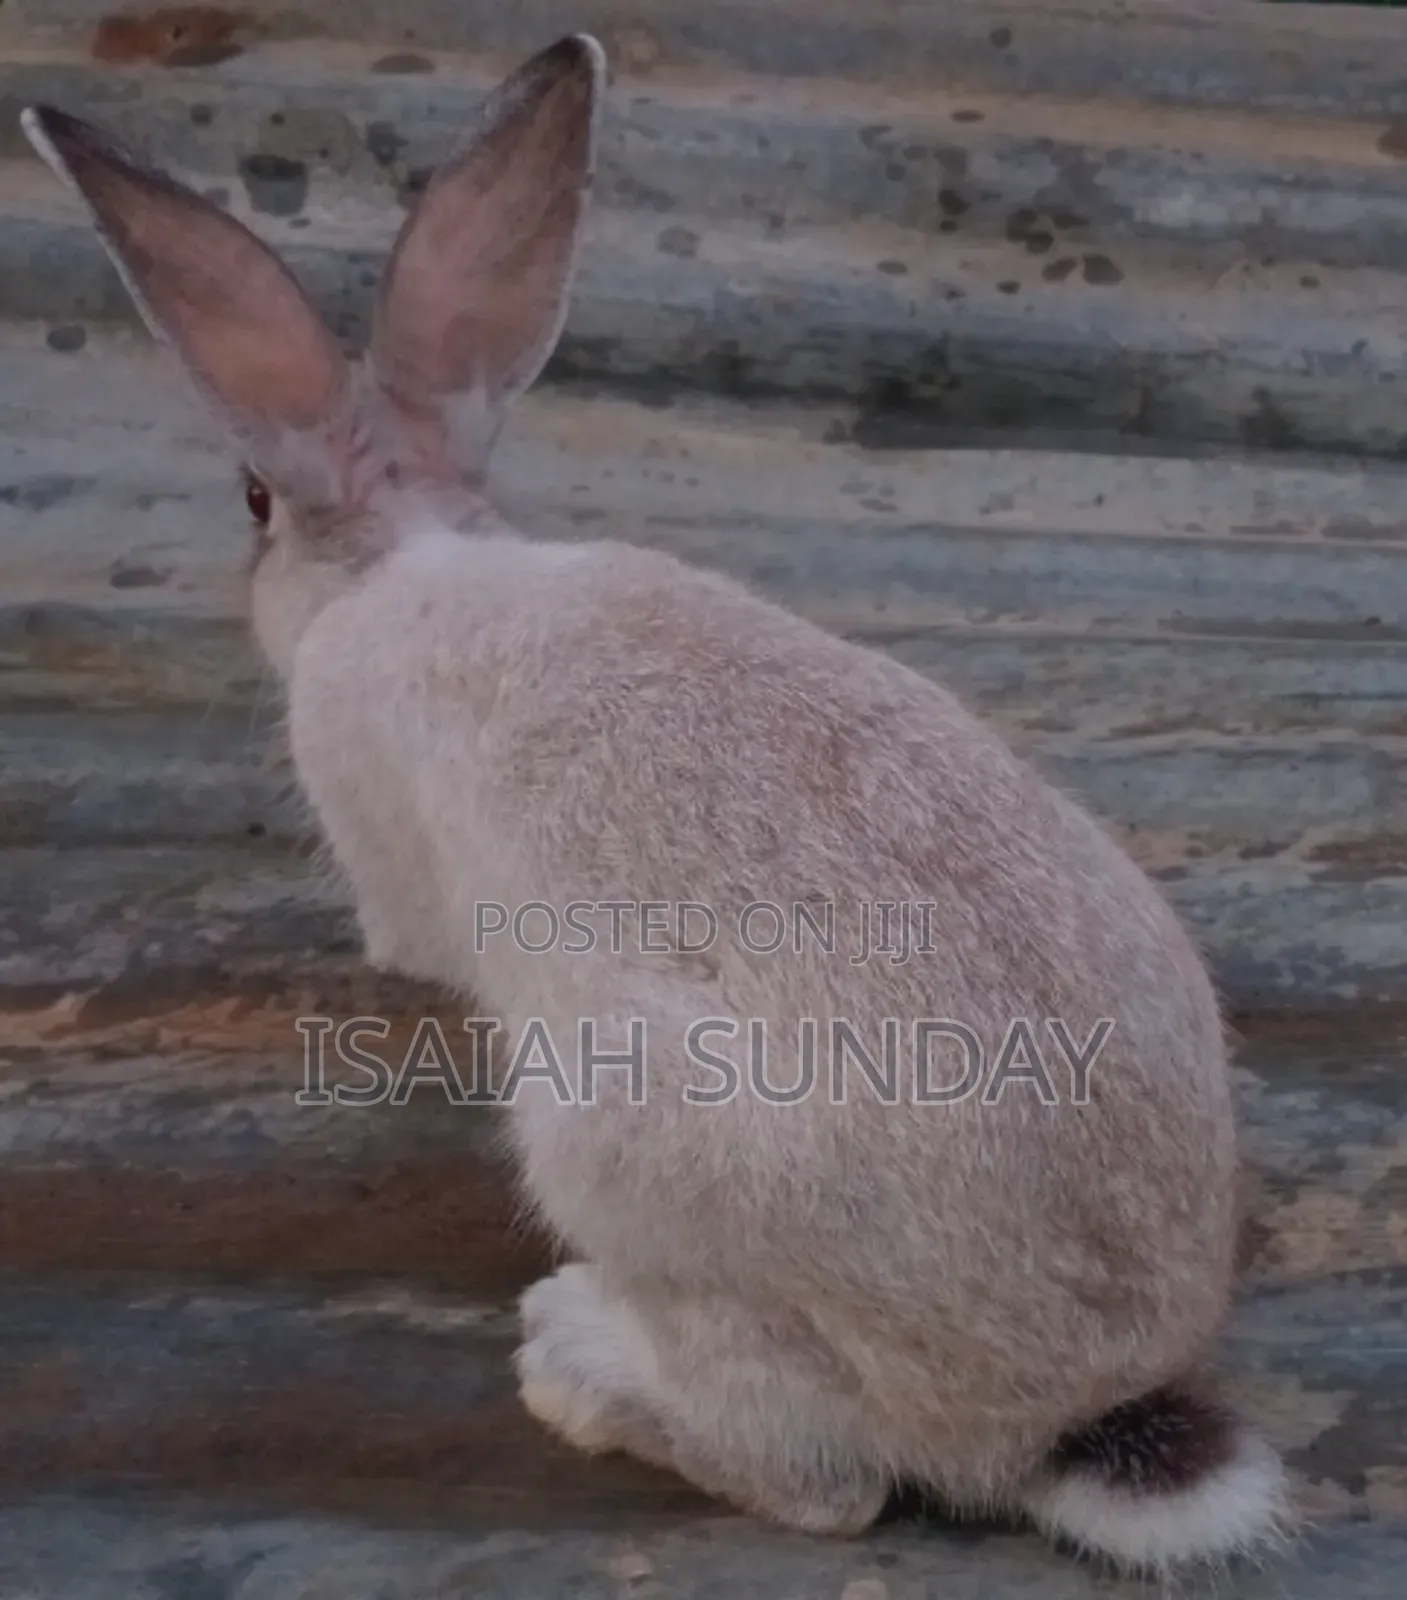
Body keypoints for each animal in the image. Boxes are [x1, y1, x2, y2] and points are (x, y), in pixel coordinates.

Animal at [22, 34, 1291, 1577]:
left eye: (255, 497)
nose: (251, 559)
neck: (406, 546)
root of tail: (1070, 1411)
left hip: (620, 1147)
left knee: (820, 1479)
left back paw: (577, 1364)